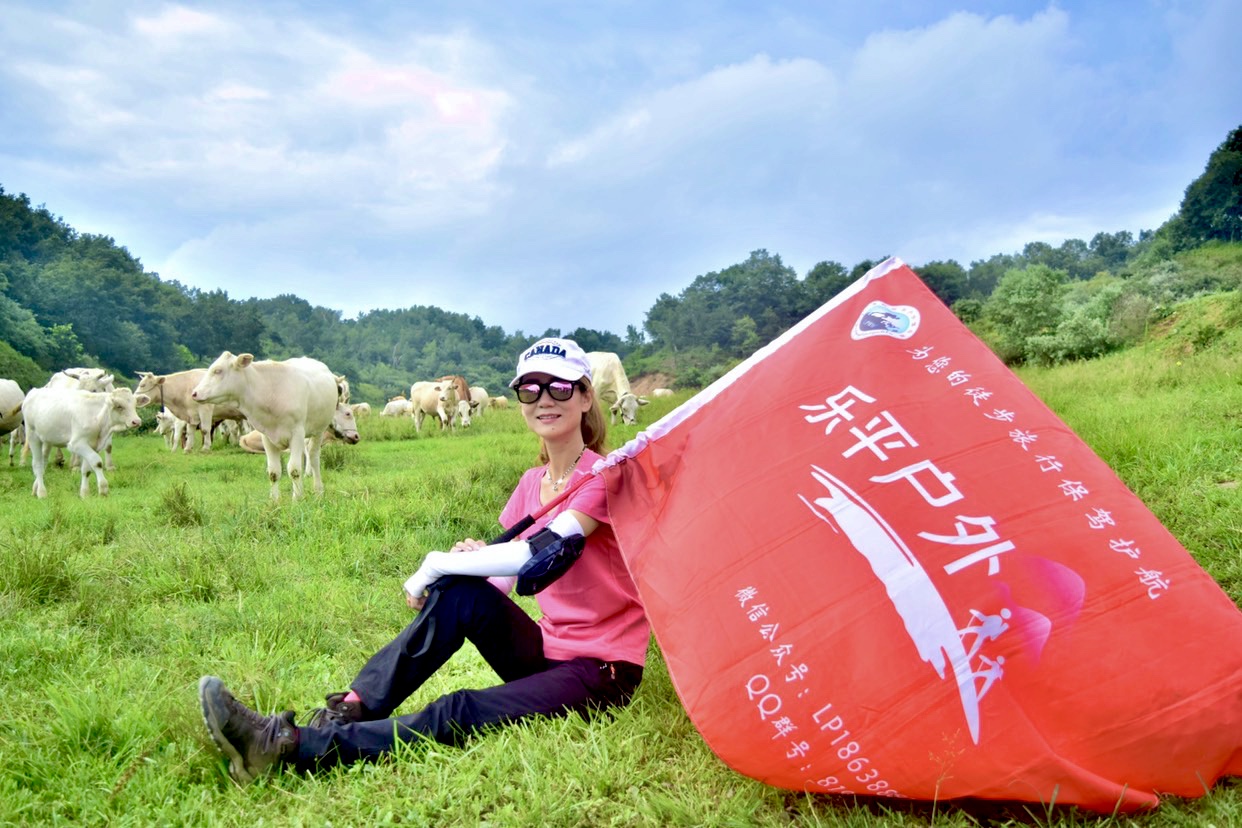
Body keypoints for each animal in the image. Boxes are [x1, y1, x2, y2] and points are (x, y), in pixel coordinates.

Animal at [191, 352, 339, 501]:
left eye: (218, 370)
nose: (194, 393)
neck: (270, 393)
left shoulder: (297, 434)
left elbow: (294, 469)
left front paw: (296, 499)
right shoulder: (267, 437)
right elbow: (273, 471)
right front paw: (274, 500)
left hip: (318, 431)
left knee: (314, 459)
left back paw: (318, 491)